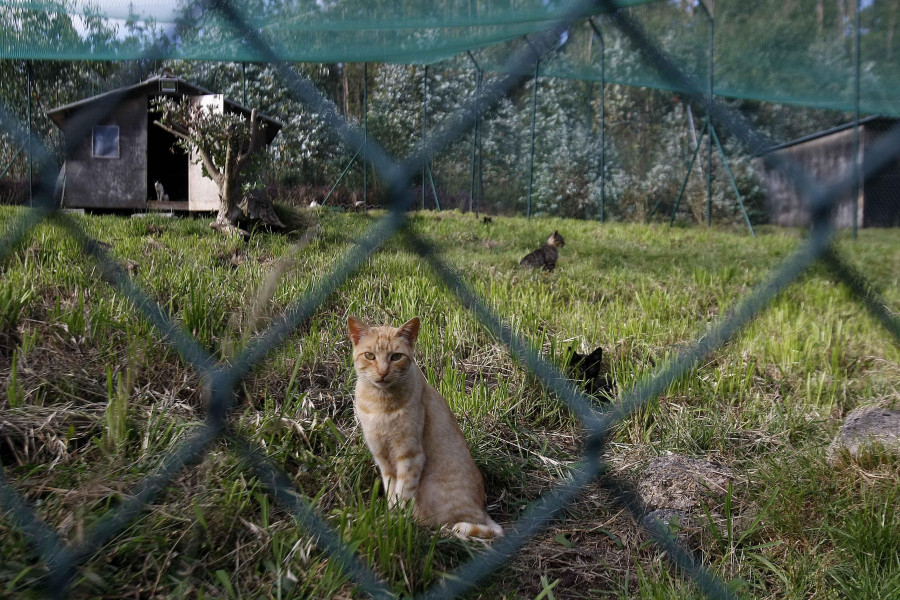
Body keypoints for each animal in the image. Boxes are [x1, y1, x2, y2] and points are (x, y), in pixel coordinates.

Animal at [346, 314, 502, 540]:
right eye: (369, 355)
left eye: (396, 357)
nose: (383, 372)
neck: (379, 403)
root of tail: (482, 510)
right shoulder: (383, 460)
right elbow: (391, 494)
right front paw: (389, 519)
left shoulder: (410, 456)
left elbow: (402, 496)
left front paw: (396, 523)